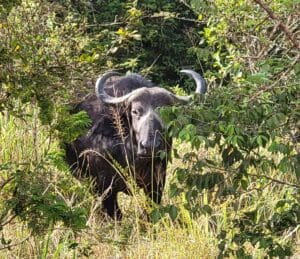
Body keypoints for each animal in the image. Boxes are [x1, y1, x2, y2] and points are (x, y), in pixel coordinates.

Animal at [65, 70, 206, 220]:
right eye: (135, 111)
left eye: (166, 112)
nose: (150, 146)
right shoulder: (105, 187)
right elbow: (116, 214)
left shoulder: (156, 182)